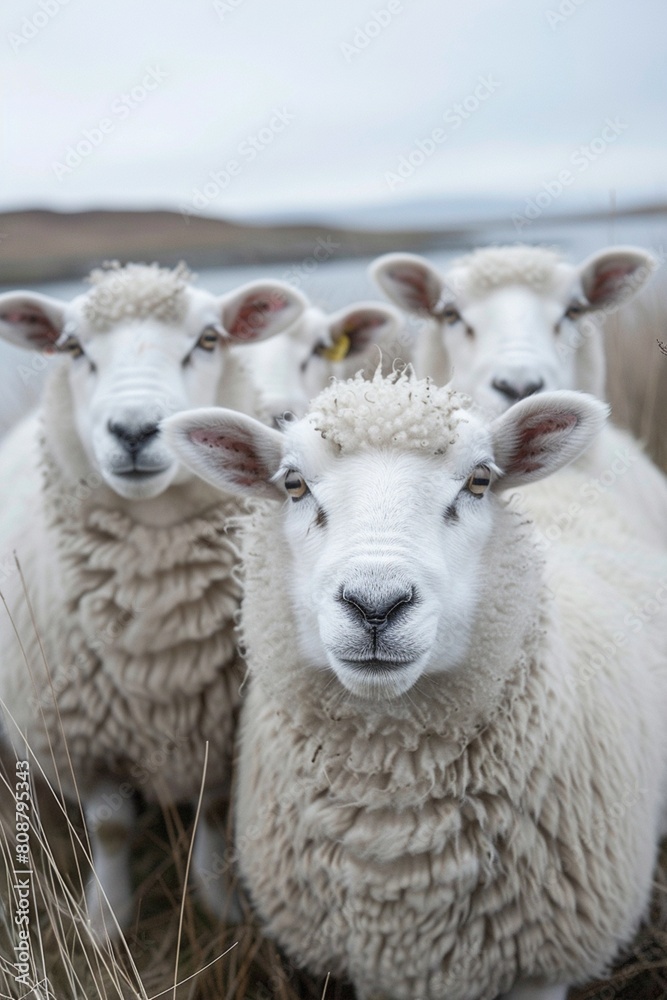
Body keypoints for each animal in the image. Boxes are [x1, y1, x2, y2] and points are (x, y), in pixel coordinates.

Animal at [0, 261, 307, 938]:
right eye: (73, 347)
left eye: (210, 339)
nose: (136, 430)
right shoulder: (82, 745)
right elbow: (112, 828)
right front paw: (105, 920)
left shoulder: (219, 734)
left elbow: (214, 814)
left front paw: (222, 907)